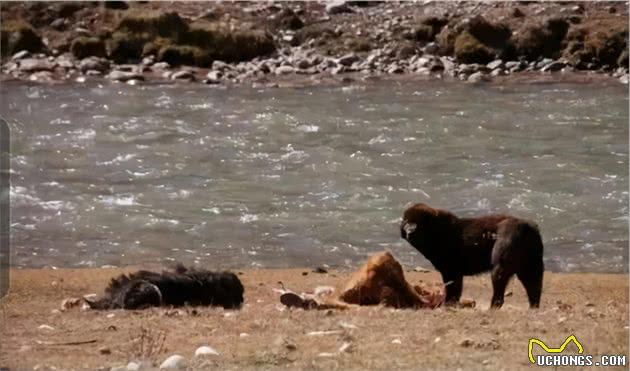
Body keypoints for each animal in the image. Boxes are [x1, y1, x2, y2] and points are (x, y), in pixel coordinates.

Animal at [402, 203, 544, 308]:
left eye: (421, 221)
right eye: (406, 220)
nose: (410, 230)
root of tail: (527, 228)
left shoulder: (451, 269)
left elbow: (453, 288)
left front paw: (447, 304)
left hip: (504, 255)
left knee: (499, 285)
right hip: (532, 263)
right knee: (534, 286)